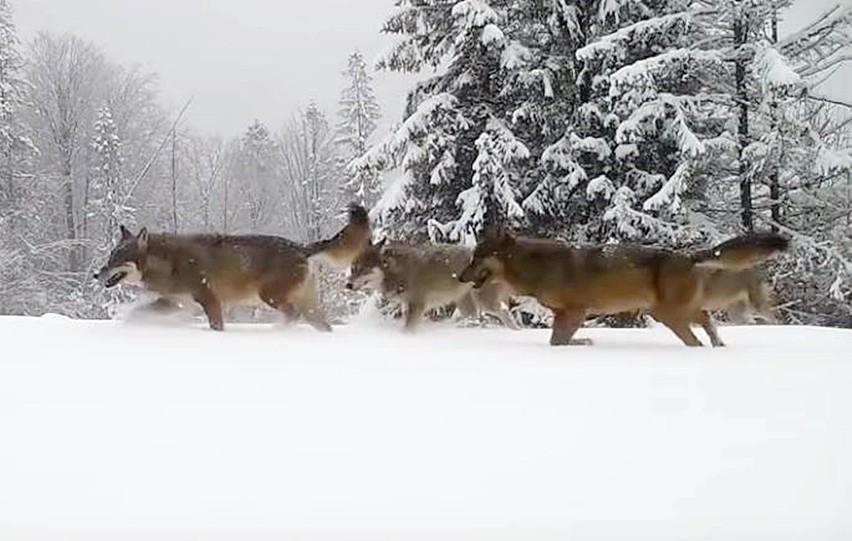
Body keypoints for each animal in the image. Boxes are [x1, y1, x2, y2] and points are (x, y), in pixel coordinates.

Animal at [95, 202, 372, 330]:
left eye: (116, 260)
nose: (97, 274)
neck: (170, 262)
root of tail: (301, 246)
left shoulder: (210, 300)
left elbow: (216, 326)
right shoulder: (177, 303)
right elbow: (138, 313)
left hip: (269, 296)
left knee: (292, 315)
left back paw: (277, 331)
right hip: (308, 306)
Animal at [346, 239, 520, 332]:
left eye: (363, 270)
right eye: (353, 269)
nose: (348, 285)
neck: (398, 270)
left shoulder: (417, 305)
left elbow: (408, 329)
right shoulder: (408, 305)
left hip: (486, 303)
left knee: (506, 314)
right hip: (466, 304)